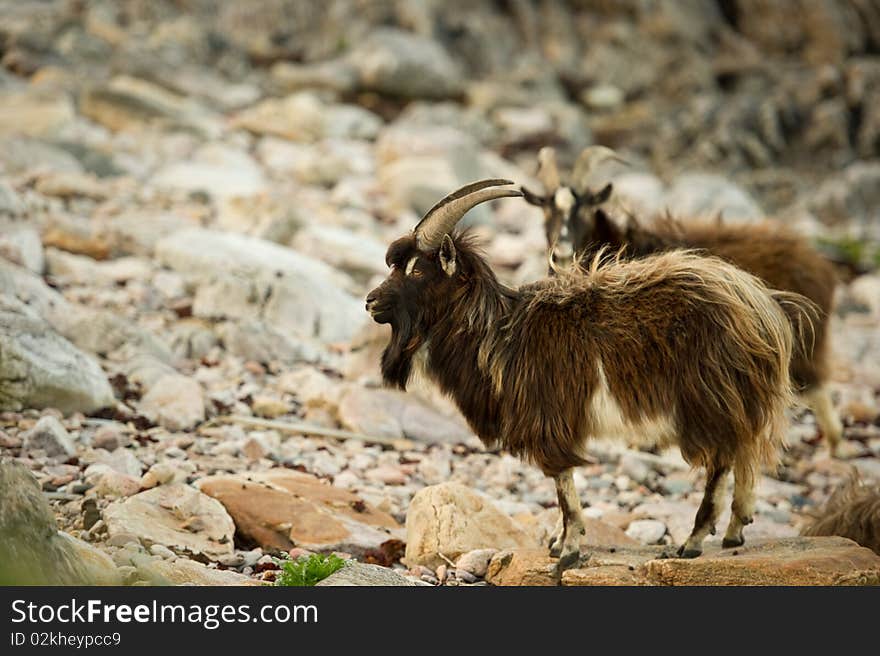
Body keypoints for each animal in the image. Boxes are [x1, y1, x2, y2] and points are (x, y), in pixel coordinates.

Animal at [364, 177, 804, 572]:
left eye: (418, 271)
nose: (370, 302)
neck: (499, 333)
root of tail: (761, 307)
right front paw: (559, 545)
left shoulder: (548, 419)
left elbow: (562, 484)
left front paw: (568, 550)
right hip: (736, 397)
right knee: (745, 449)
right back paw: (735, 531)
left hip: (710, 398)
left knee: (721, 462)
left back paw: (693, 542)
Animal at [524, 147, 844, 456]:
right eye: (545, 210)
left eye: (585, 207)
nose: (562, 252)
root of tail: (820, 265)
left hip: (799, 347)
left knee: (816, 388)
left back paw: (834, 443)